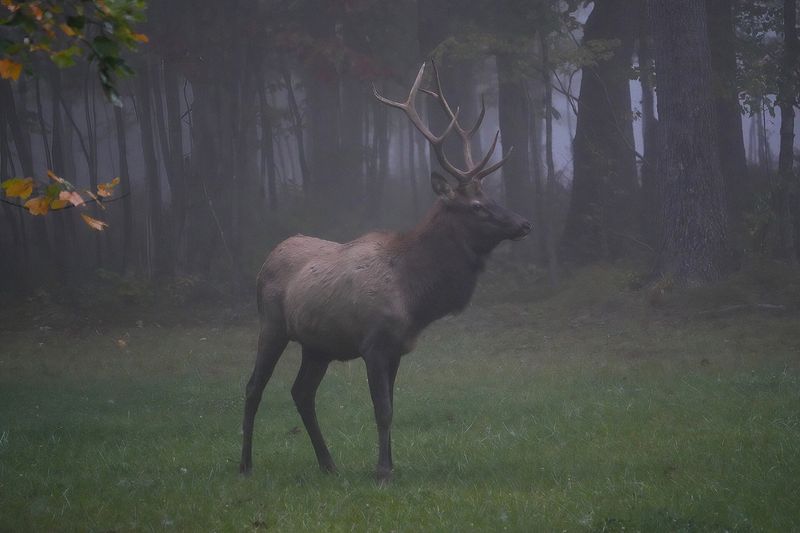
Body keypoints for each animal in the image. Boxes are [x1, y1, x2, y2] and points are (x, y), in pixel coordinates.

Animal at [239, 62, 531, 483]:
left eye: (490, 196)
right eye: (476, 205)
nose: (524, 223)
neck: (416, 296)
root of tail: (269, 256)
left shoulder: (397, 349)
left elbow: (391, 408)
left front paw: (390, 464)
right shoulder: (373, 344)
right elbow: (382, 410)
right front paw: (381, 471)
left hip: (318, 345)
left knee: (301, 392)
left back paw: (328, 463)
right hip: (273, 325)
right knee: (253, 387)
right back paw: (245, 464)